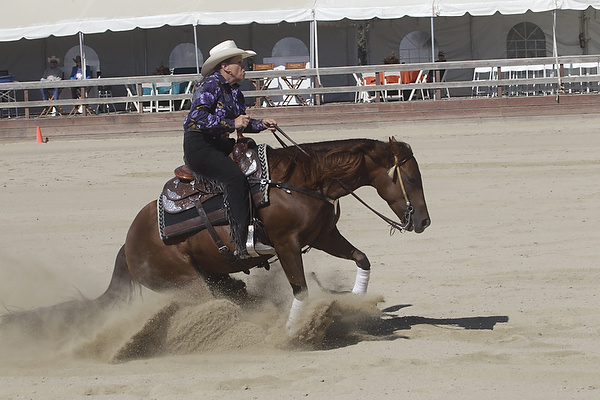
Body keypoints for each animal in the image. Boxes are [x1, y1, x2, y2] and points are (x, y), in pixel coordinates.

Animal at [98, 137, 430, 331]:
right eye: (412, 178)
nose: (424, 221)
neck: (301, 180)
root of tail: (128, 244)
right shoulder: (286, 245)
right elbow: (301, 289)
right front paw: (292, 332)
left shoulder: (323, 236)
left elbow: (361, 258)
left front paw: (357, 304)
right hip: (186, 283)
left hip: (212, 275)